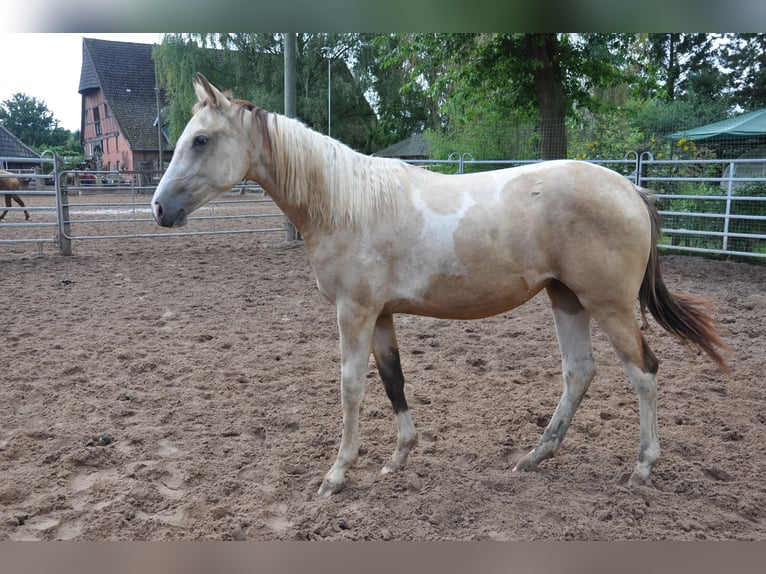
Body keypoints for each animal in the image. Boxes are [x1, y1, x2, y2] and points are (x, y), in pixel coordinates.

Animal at [151, 74, 729, 497]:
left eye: (201, 140)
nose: (159, 208)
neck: (344, 204)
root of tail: (631, 189)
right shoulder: (382, 314)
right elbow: (393, 380)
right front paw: (398, 457)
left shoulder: (354, 312)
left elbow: (351, 386)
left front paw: (337, 474)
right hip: (566, 299)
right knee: (579, 373)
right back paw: (535, 457)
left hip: (608, 305)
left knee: (644, 373)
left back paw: (642, 468)